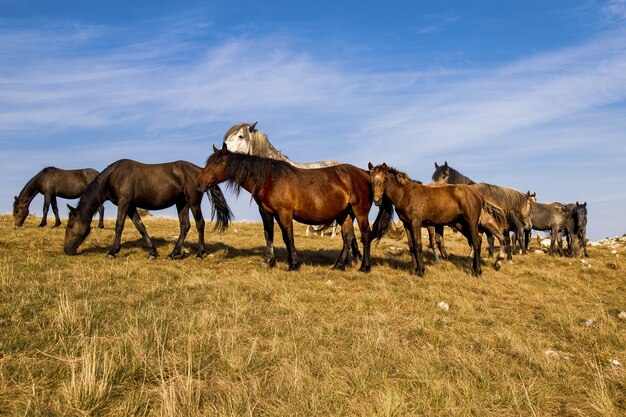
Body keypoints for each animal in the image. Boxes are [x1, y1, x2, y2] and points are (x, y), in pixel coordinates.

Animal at [64, 158, 232, 256]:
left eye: (71, 225)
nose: (66, 250)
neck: (114, 176)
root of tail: (200, 171)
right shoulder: (131, 206)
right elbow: (140, 227)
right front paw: (152, 251)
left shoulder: (124, 202)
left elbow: (119, 225)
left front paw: (113, 251)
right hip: (182, 203)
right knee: (185, 226)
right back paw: (173, 253)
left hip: (193, 202)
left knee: (199, 224)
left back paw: (200, 253)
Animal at [196, 145, 390, 272]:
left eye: (216, 163)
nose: (199, 184)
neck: (270, 179)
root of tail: (365, 174)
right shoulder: (268, 213)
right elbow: (269, 235)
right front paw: (269, 262)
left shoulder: (284, 213)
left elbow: (288, 236)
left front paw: (293, 264)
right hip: (345, 215)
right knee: (348, 238)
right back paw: (338, 265)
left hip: (360, 212)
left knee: (365, 236)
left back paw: (364, 266)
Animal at [366, 162, 502, 276]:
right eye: (371, 181)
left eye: (384, 181)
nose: (377, 201)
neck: (406, 195)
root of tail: (477, 195)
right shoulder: (407, 224)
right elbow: (411, 246)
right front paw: (414, 270)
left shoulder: (416, 223)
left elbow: (418, 245)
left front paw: (421, 270)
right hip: (462, 224)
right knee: (476, 241)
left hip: (471, 222)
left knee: (477, 242)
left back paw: (477, 271)